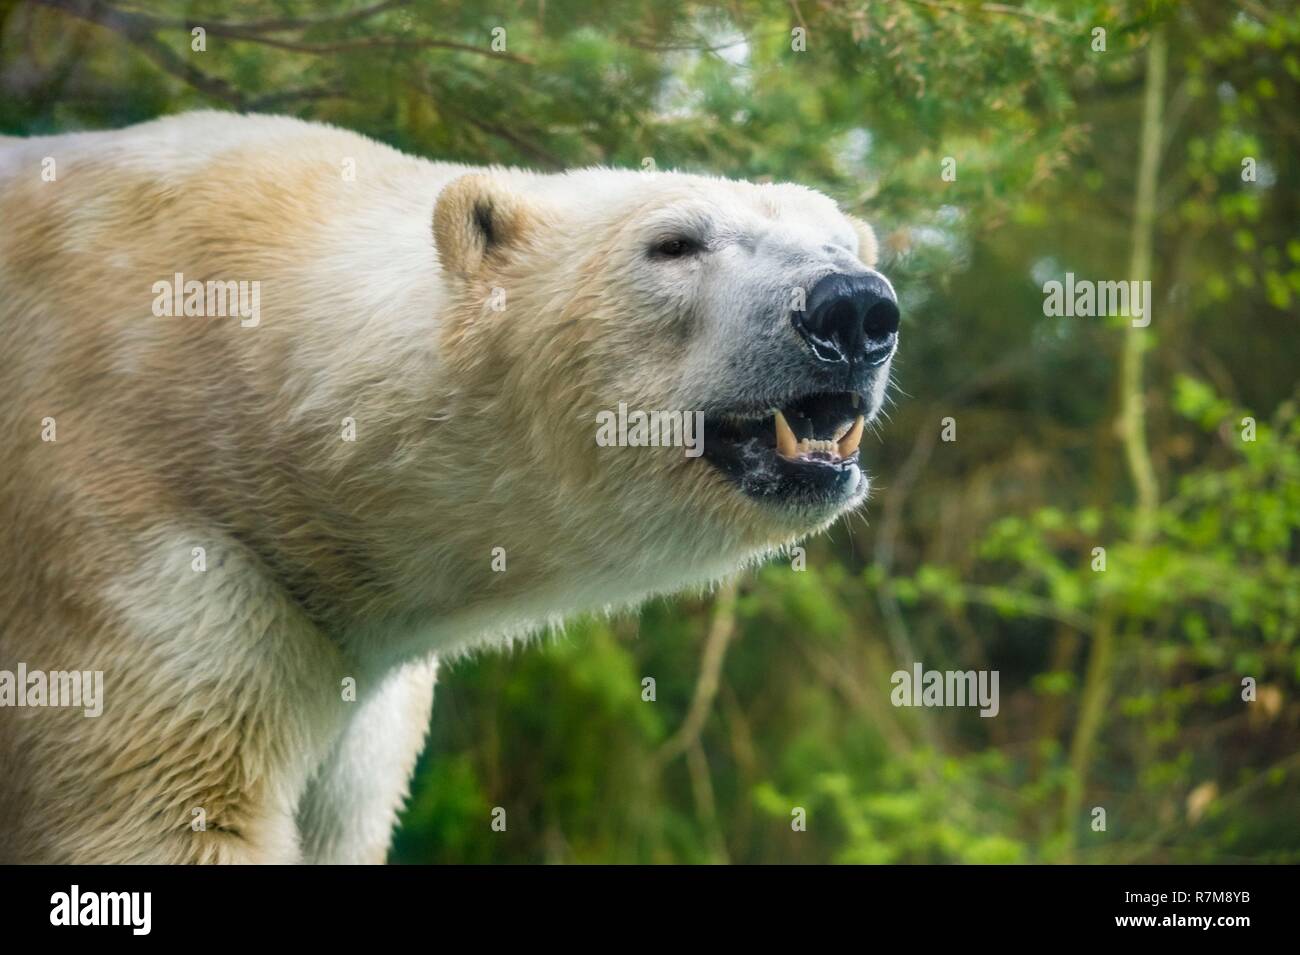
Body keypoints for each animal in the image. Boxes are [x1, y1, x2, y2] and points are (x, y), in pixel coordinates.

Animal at [0, 111, 894, 867]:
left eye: (844, 241)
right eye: (674, 243)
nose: (852, 307)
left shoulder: (355, 676)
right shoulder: (144, 538)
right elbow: (169, 813)